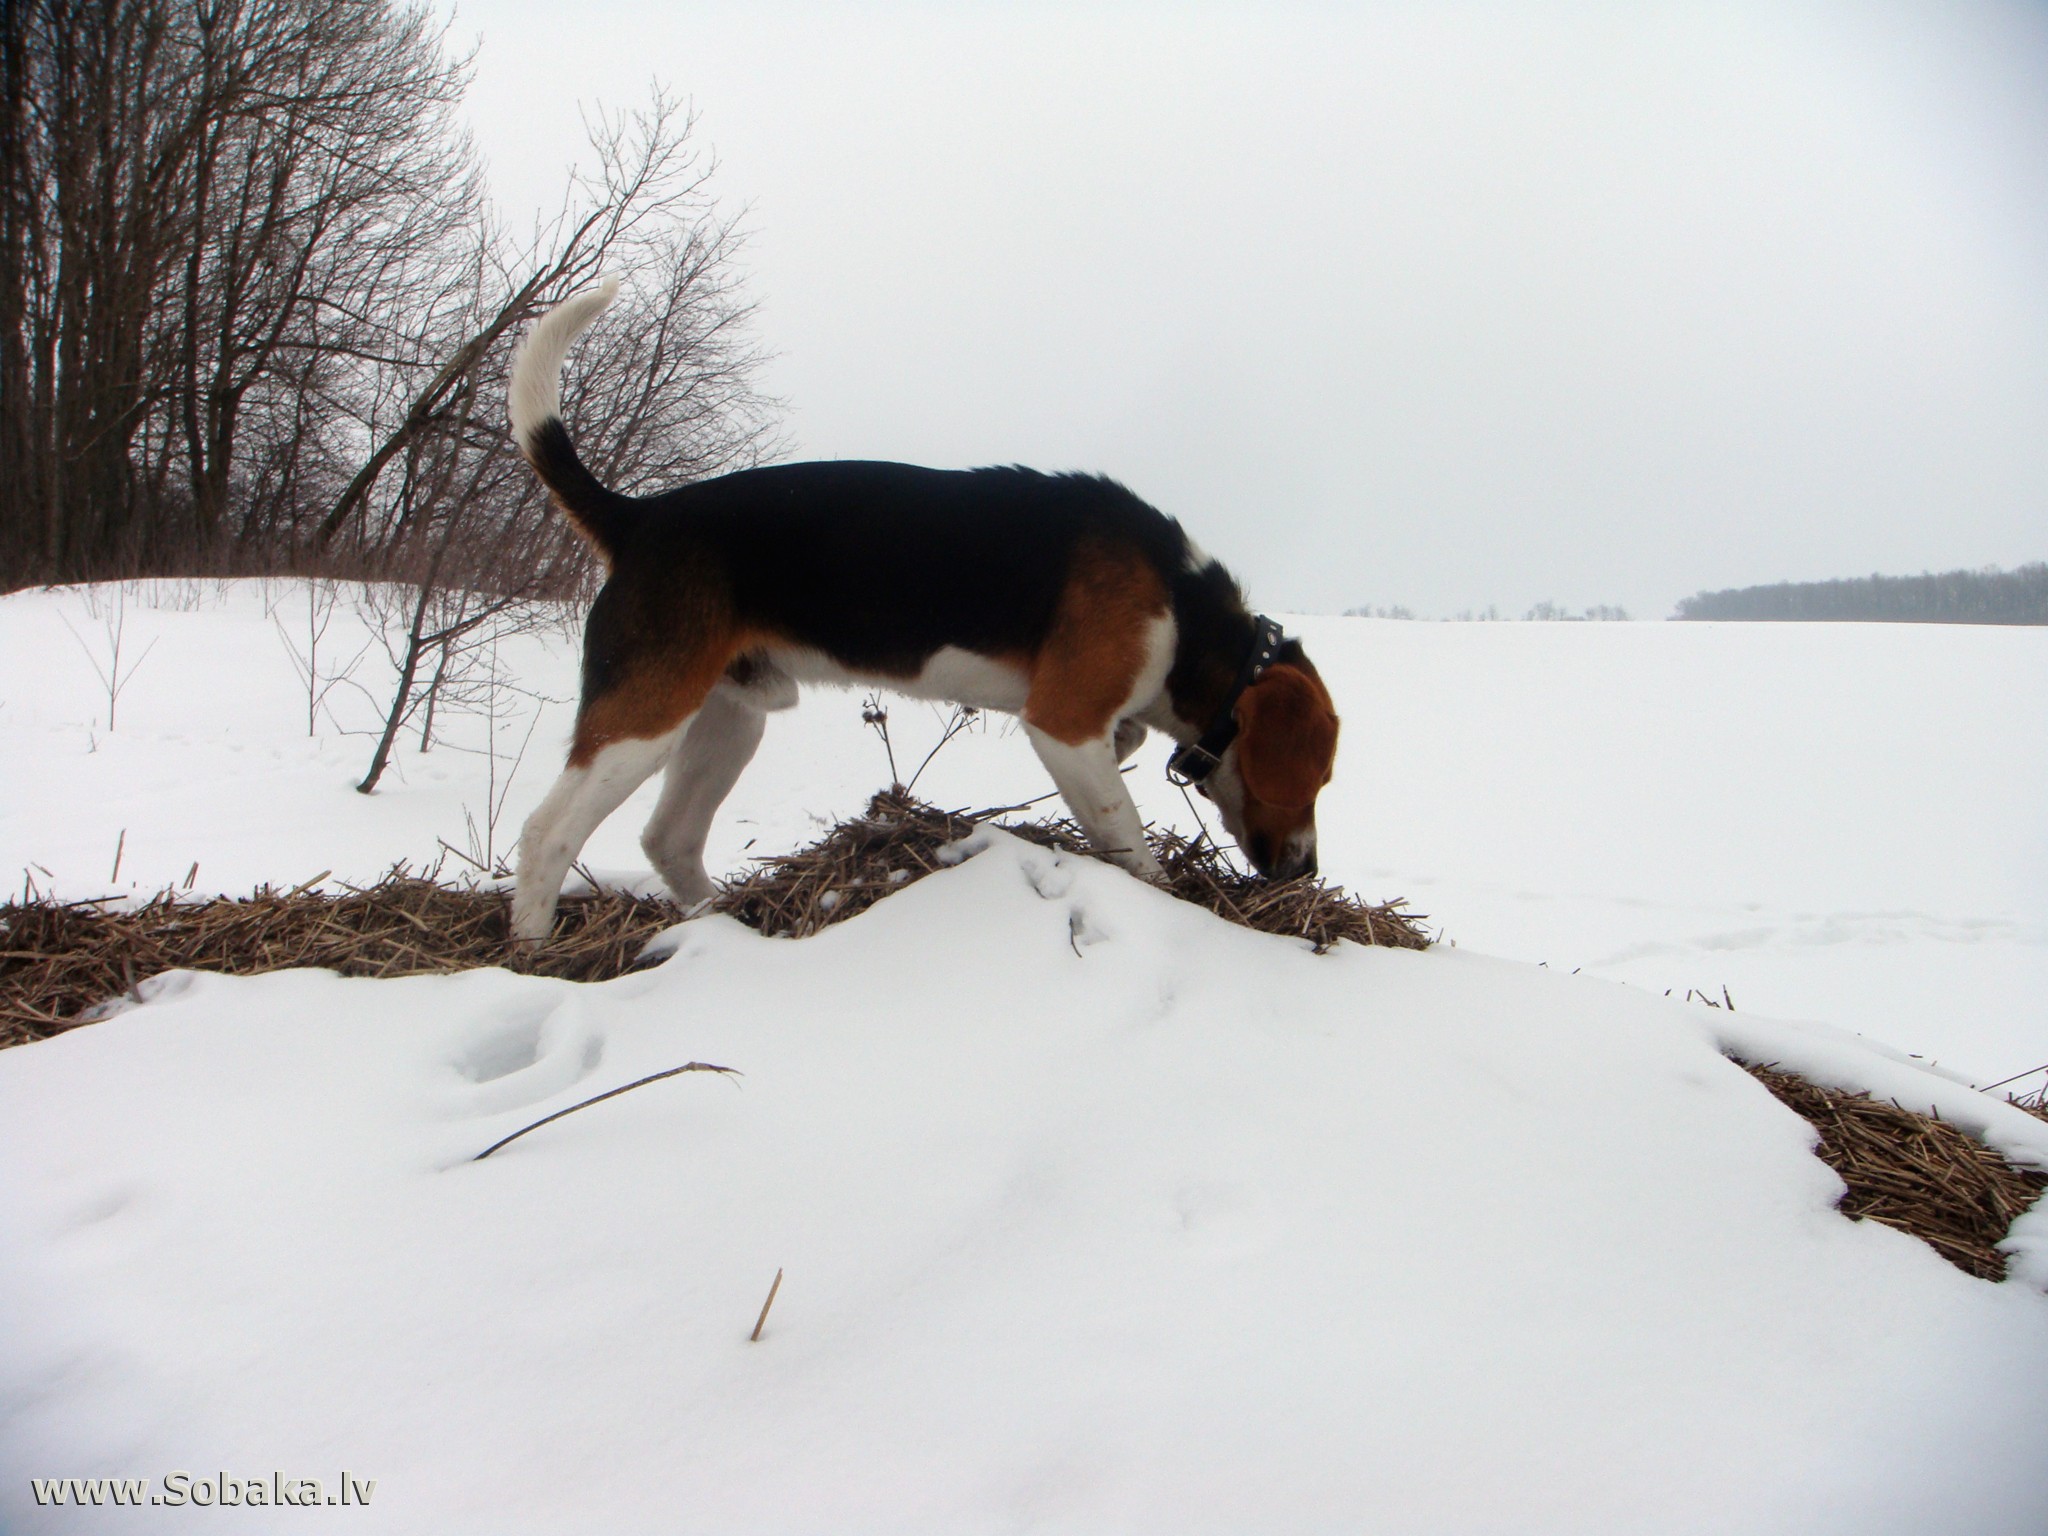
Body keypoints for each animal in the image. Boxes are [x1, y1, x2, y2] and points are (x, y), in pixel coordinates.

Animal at [507, 282, 1343, 946]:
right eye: (1321, 774)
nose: (1307, 871)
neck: (1187, 612)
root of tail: (639, 517)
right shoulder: (1066, 728)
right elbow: (1126, 831)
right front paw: (1166, 897)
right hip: (644, 718)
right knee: (546, 833)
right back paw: (534, 948)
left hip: (729, 719)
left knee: (670, 838)